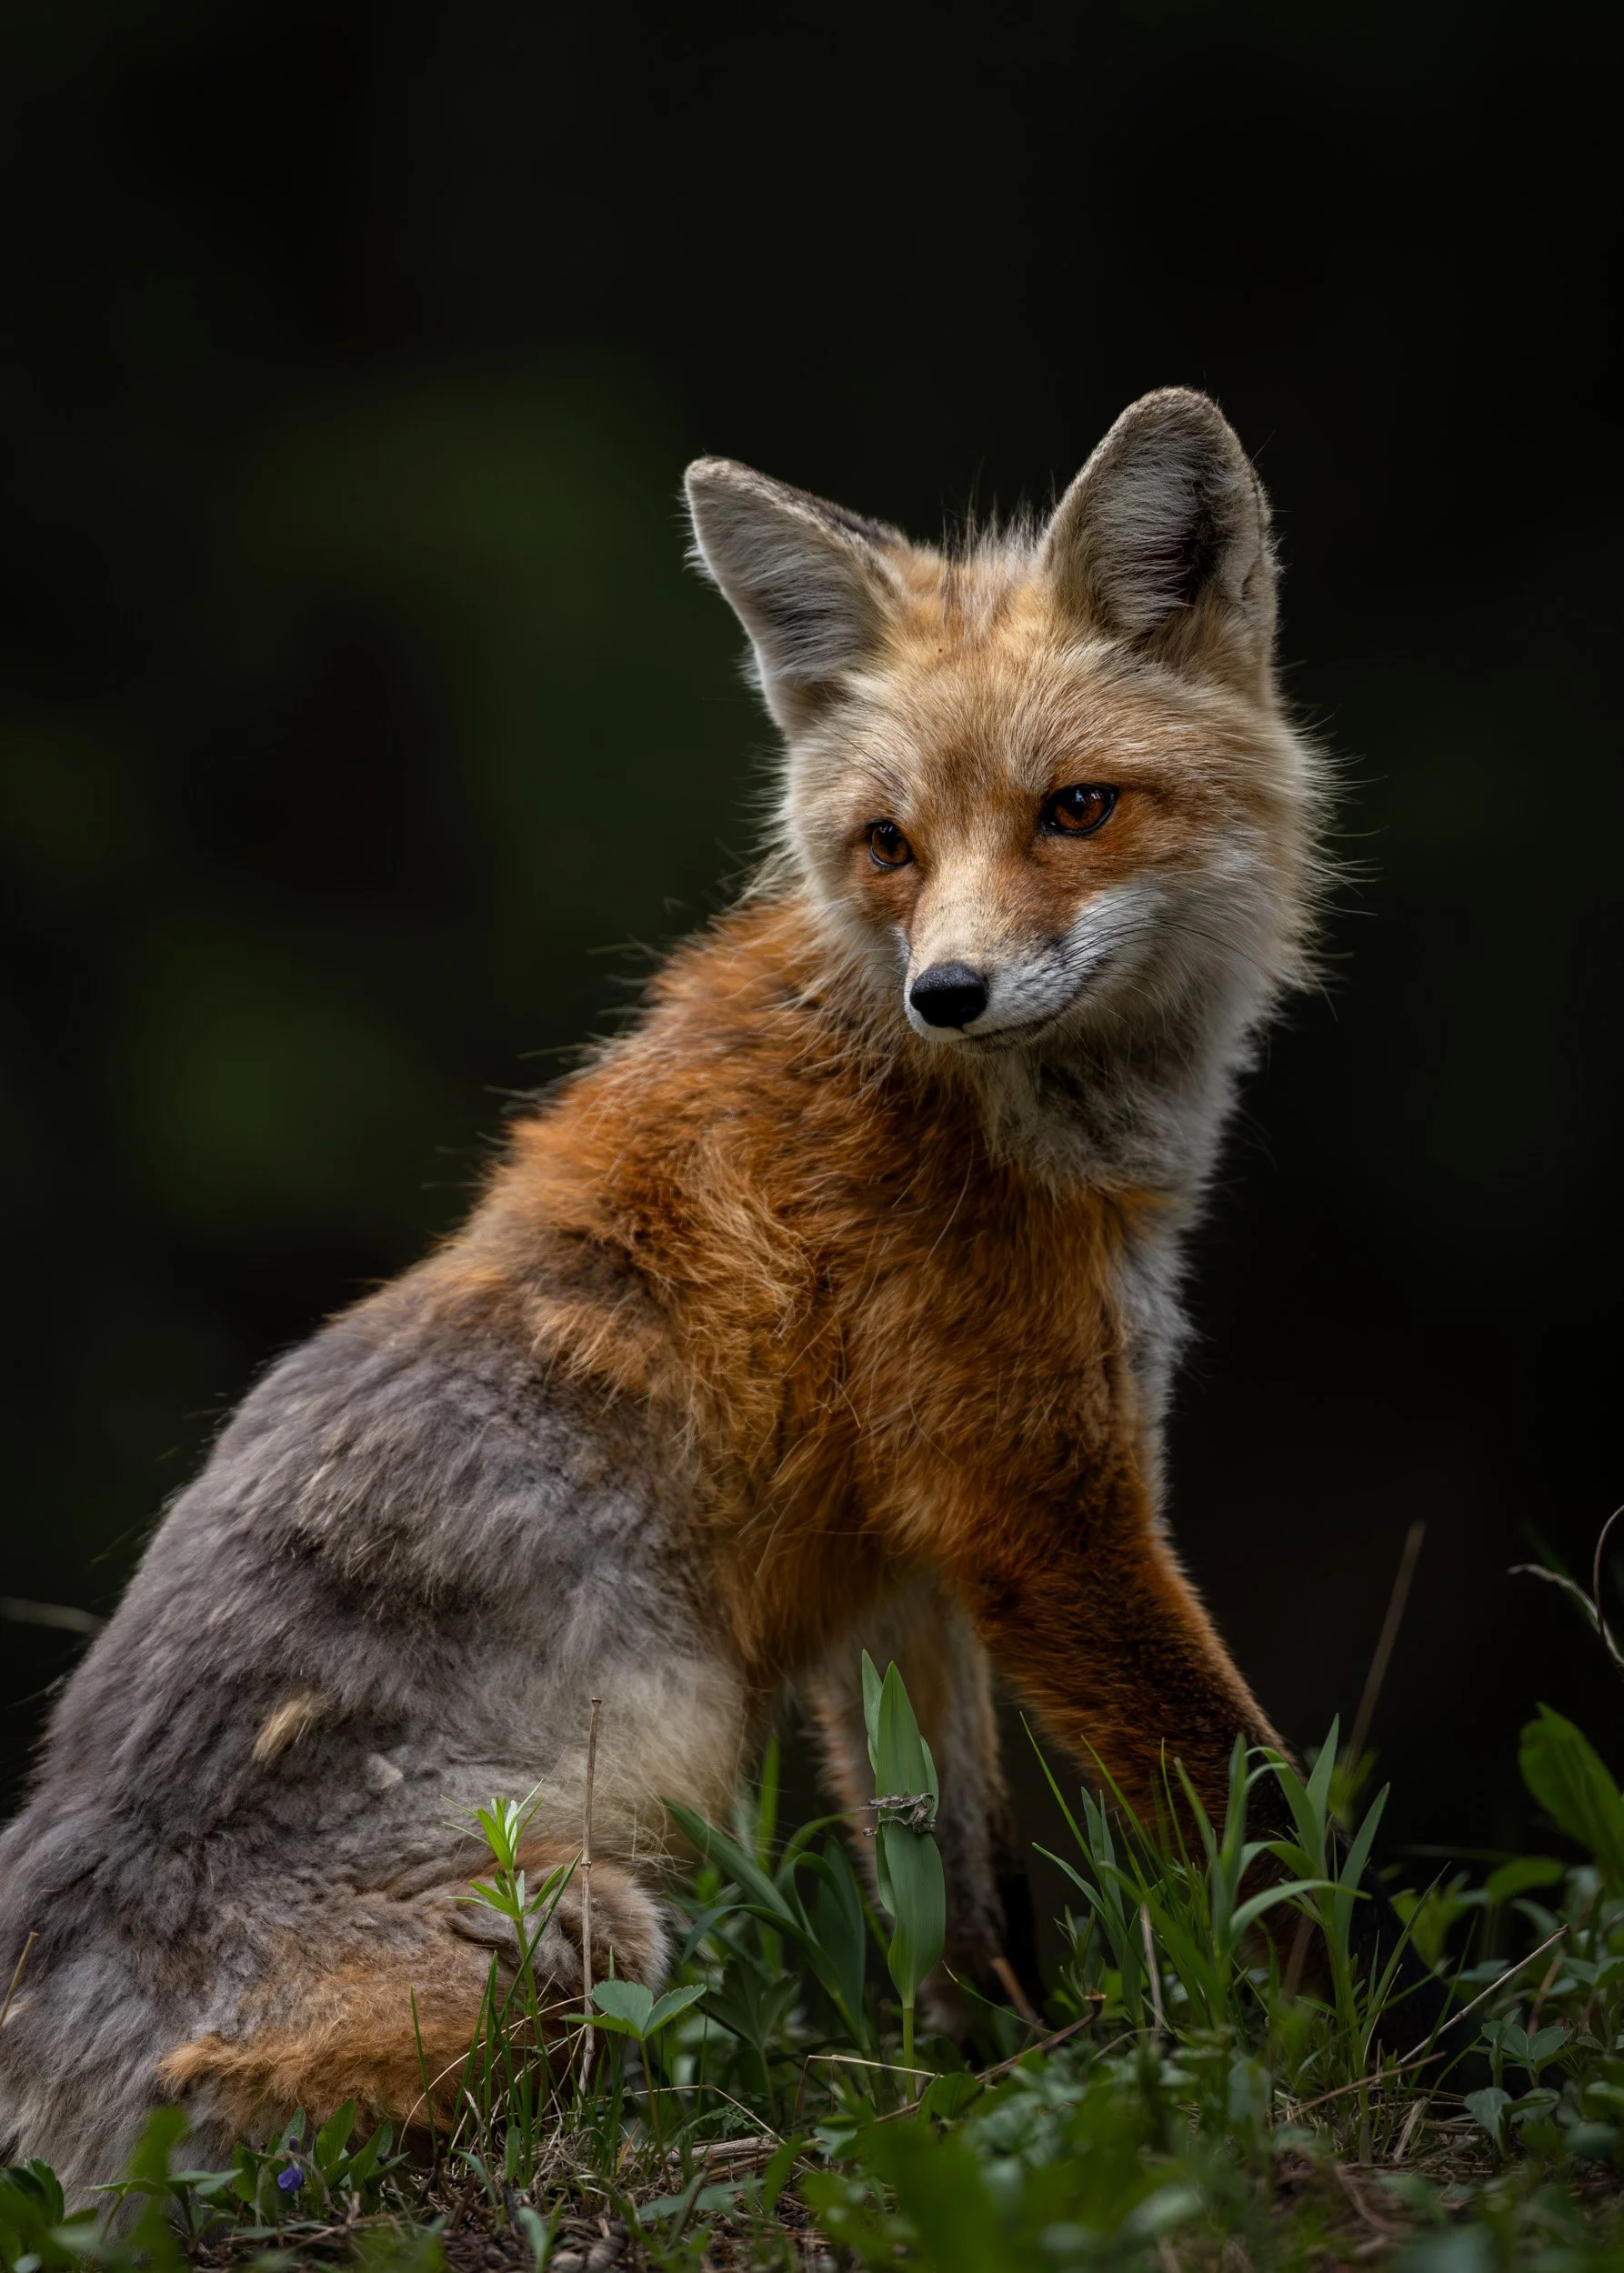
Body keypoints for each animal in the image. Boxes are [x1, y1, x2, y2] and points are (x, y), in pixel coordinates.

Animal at [0, 387, 1328, 2196]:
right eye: (889, 847)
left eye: (1076, 809)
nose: (950, 990)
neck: (940, 1089)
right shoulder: (1035, 1512)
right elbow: (1250, 1815)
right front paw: (1367, 2045)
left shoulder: (907, 1567)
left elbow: (961, 1889)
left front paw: (988, 2083)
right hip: (583, 1929)